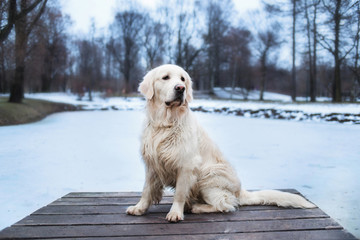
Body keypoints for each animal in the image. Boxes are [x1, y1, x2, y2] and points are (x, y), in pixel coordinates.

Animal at [127, 64, 316, 223]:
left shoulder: (187, 165)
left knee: (225, 205)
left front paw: (175, 213)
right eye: (165, 77)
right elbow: (146, 190)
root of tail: (240, 191)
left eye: (183, 79)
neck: (165, 123)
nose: (181, 88)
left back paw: (196, 207)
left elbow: (179, 194)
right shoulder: (152, 163)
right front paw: (139, 208)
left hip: (208, 176)